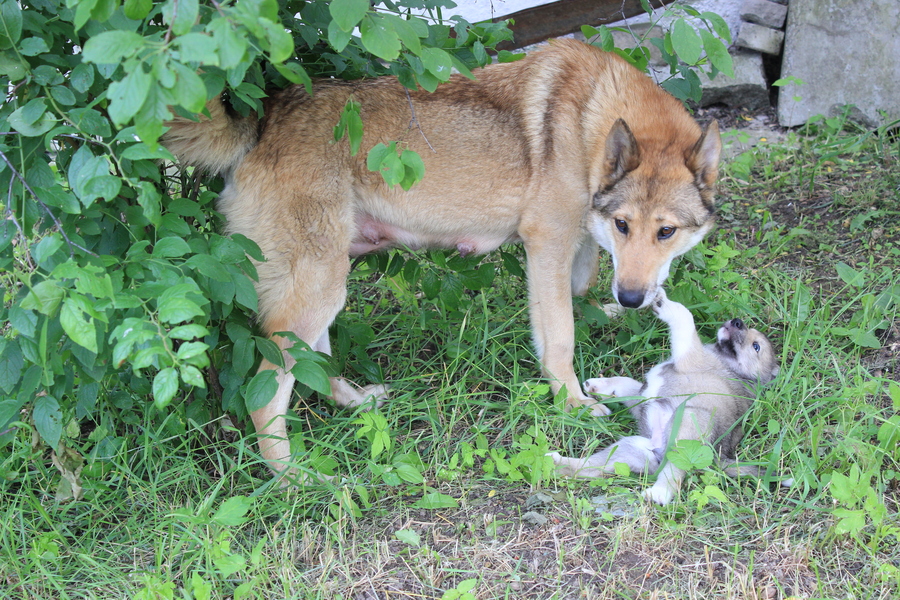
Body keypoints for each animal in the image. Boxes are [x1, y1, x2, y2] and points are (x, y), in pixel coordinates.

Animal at [163, 38, 724, 478]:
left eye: (666, 232)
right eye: (625, 225)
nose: (631, 298)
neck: (589, 119)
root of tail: (262, 122)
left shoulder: (580, 244)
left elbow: (582, 291)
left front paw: (608, 313)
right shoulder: (547, 246)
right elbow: (560, 336)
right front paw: (572, 401)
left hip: (323, 286)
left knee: (314, 365)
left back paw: (356, 402)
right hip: (317, 289)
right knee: (267, 398)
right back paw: (297, 479)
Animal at [548, 288, 780, 504]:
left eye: (756, 346)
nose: (737, 321)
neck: (733, 368)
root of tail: (720, 458)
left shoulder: (691, 355)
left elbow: (685, 317)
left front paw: (665, 303)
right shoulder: (643, 395)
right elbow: (628, 384)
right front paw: (600, 386)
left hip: (687, 425)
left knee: (675, 473)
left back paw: (659, 493)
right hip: (628, 449)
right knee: (589, 468)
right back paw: (556, 463)